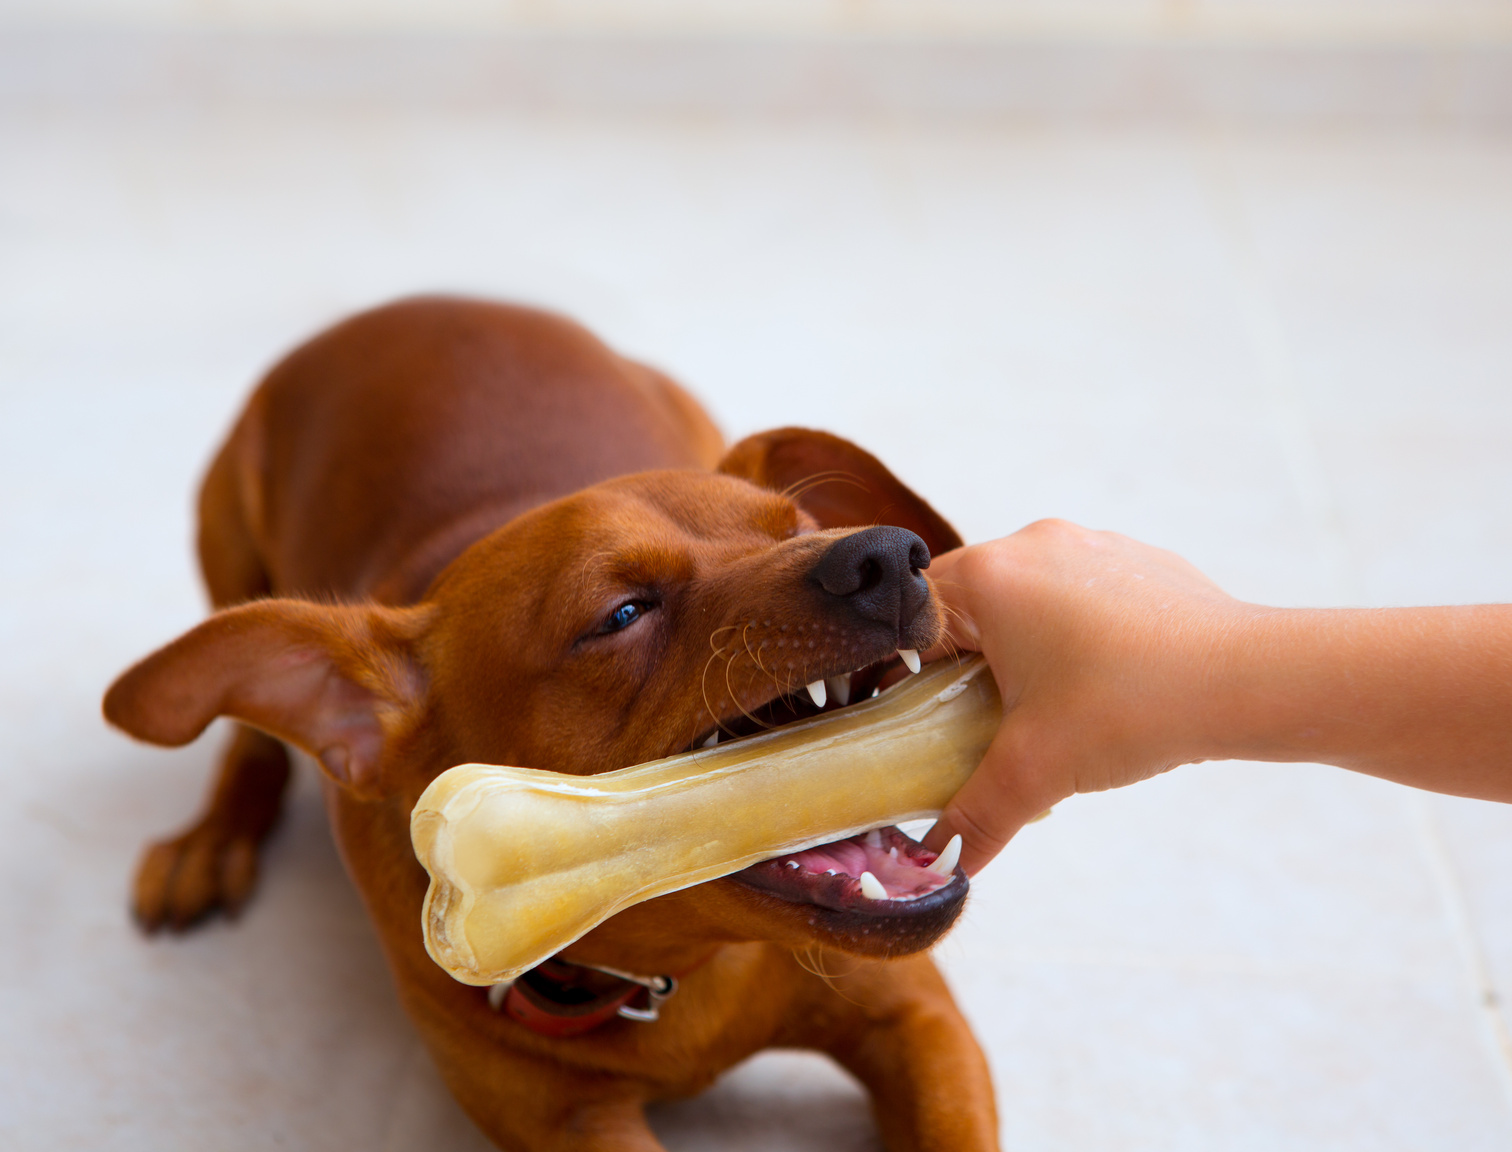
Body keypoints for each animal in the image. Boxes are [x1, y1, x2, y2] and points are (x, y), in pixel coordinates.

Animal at [106, 297, 1003, 1148]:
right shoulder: (567, 1124)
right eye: (622, 614)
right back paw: (211, 839)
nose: (886, 556)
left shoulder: (916, 1021)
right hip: (226, 546)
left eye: (804, 531)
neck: (672, 980)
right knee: (250, 740)